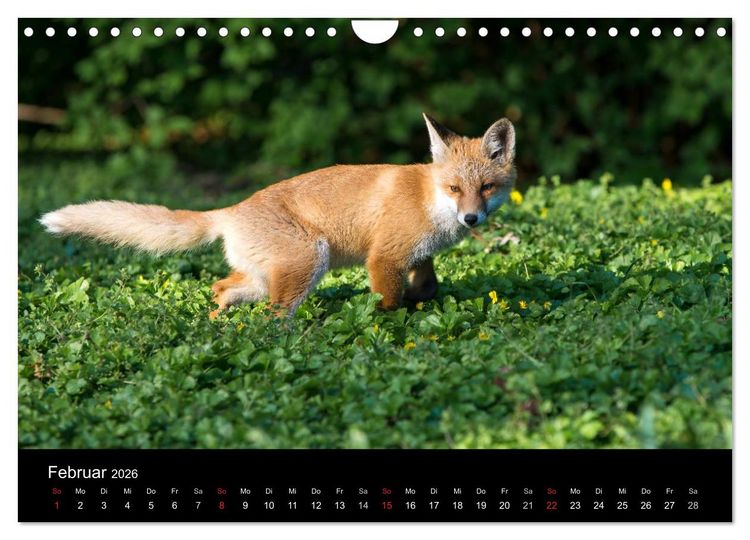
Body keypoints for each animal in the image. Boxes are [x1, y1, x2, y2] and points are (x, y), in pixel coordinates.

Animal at [40, 114, 516, 319]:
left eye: (486, 188)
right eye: (454, 188)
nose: (471, 220)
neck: (427, 199)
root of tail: (230, 209)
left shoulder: (416, 256)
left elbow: (428, 288)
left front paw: (421, 303)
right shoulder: (384, 257)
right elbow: (388, 303)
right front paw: (386, 328)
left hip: (265, 276)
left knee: (221, 288)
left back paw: (218, 324)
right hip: (309, 261)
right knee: (272, 319)